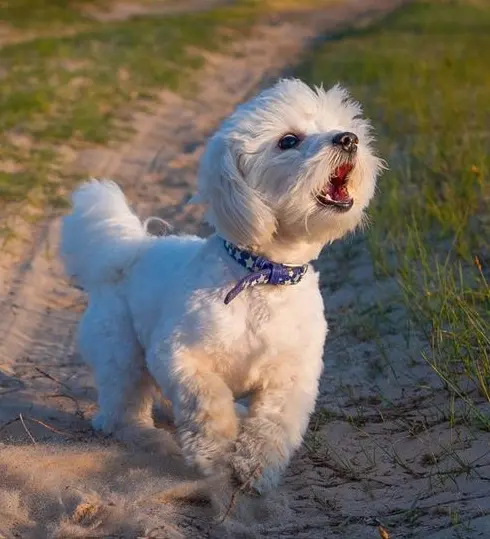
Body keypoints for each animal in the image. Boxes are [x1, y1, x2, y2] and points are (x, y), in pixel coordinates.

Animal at [60, 78, 382, 496]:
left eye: (342, 126)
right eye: (289, 141)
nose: (348, 139)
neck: (264, 275)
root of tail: (130, 249)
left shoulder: (291, 376)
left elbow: (274, 425)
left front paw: (256, 468)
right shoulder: (179, 356)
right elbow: (207, 403)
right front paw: (213, 454)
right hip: (122, 354)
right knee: (121, 412)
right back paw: (148, 439)